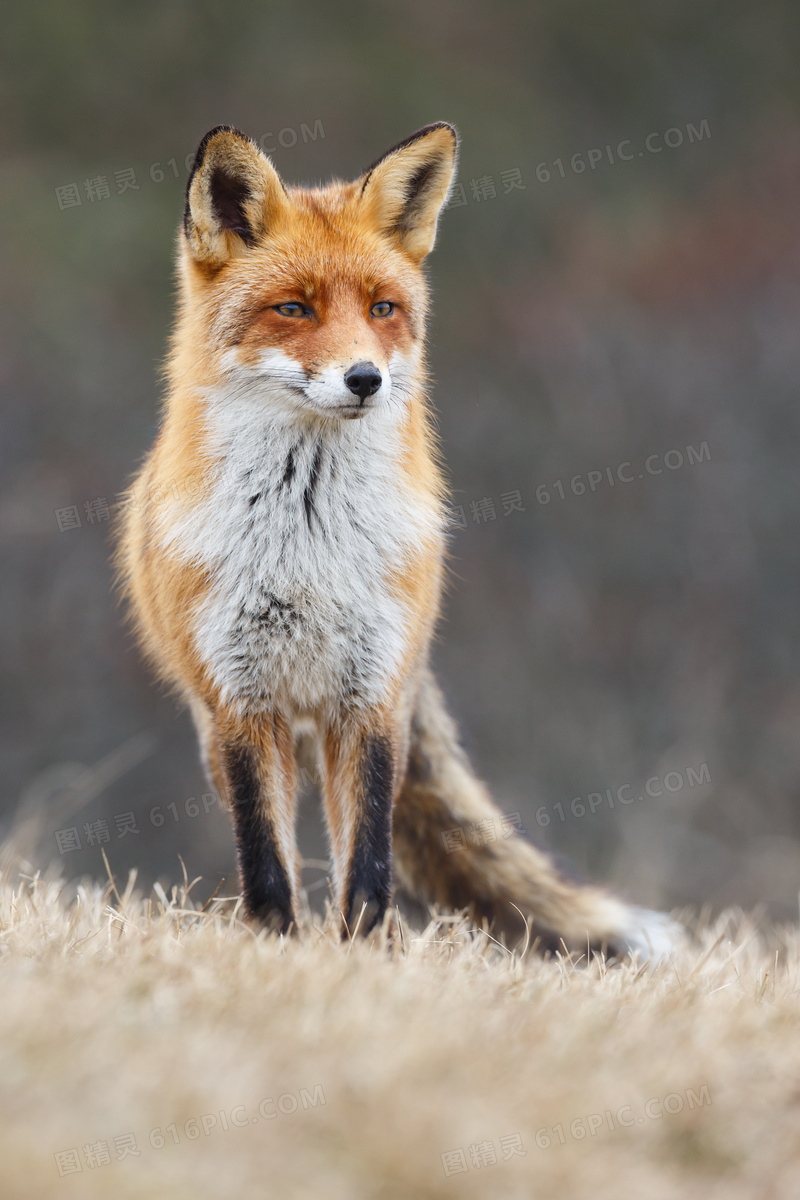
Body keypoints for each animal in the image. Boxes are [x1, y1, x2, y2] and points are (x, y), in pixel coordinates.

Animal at [115, 121, 681, 960]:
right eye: (293, 307)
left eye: (383, 307)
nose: (364, 379)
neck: (307, 543)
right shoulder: (241, 702)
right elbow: (268, 866)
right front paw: (277, 951)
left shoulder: (372, 694)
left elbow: (370, 867)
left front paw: (364, 957)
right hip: (224, 726)